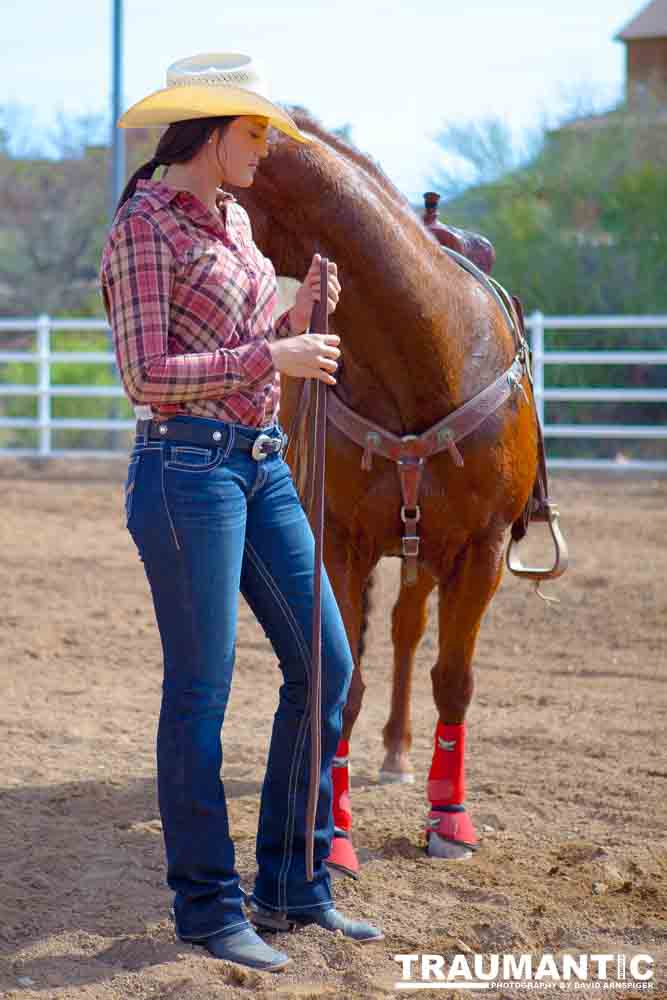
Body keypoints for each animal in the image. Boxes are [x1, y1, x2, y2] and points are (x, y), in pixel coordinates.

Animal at [235, 111, 544, 876]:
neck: (423, 355)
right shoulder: (338, 543)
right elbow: (341, 682)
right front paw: (334, 834)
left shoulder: (481, 550)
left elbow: (454, 679)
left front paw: (449, 818)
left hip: (427, 553)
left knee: (407, 632)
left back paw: (402, 753)